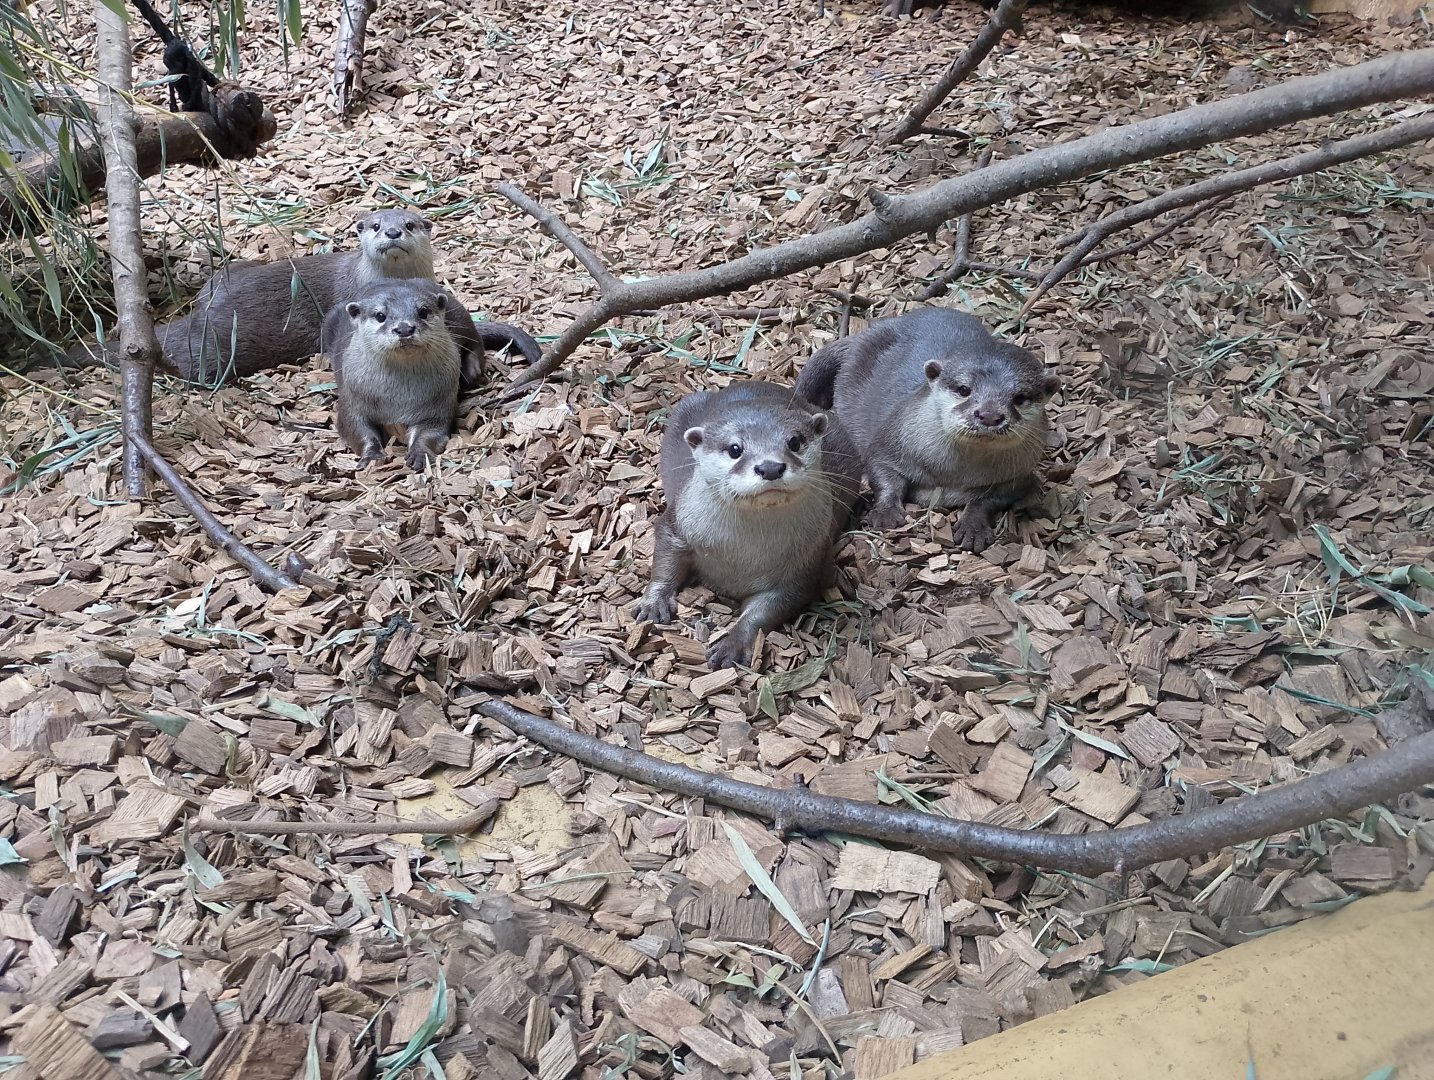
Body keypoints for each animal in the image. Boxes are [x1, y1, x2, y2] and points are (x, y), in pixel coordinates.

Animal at [324, 278, 463, 472]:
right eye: (380, 315)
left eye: (423, 312)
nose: (404, 328)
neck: (398, 399)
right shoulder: (352, 400)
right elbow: (355, 428)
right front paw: (372, 456)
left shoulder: (439, 404)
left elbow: (430, 432)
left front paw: (420, 453)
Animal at [634, 382, 862, 671]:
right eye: (735, 449)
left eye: (794, 442)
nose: (770, 467)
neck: (739, 556)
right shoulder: (677, 523)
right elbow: (664, 559)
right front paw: (654, 603)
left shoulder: (805, 566)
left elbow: (768, 609)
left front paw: (733, 643)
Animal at [794, 306, 1060, 553]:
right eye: (964, 389)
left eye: (1020, 397)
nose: (989, 415)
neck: (953, 473)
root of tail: (865, 334)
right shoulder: (889, 443)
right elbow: (883, 473)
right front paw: (886, 513)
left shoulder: (1019, 477)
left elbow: (987, 500)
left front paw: (973, 527)